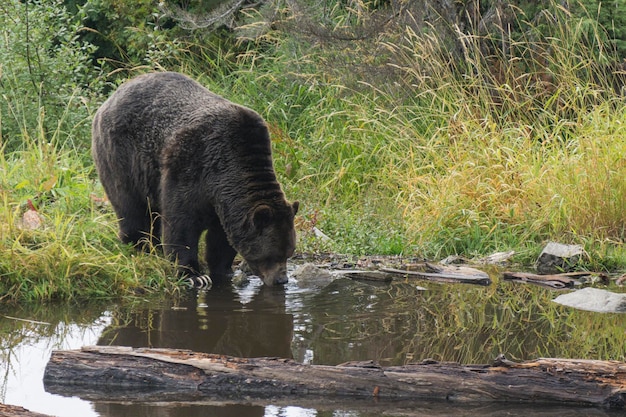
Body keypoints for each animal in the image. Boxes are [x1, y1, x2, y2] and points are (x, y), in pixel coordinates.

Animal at [91, 71, 298, 286]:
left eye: (289, 252)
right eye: (272, 256)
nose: (281, 280)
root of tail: (111, 97)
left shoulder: (224, 202)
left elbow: (221, 239)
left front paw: (223, 269)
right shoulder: (191, 166)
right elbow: (181, 224)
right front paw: (193, 274)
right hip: (121, 157)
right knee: (131, 207)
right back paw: (139, 245)